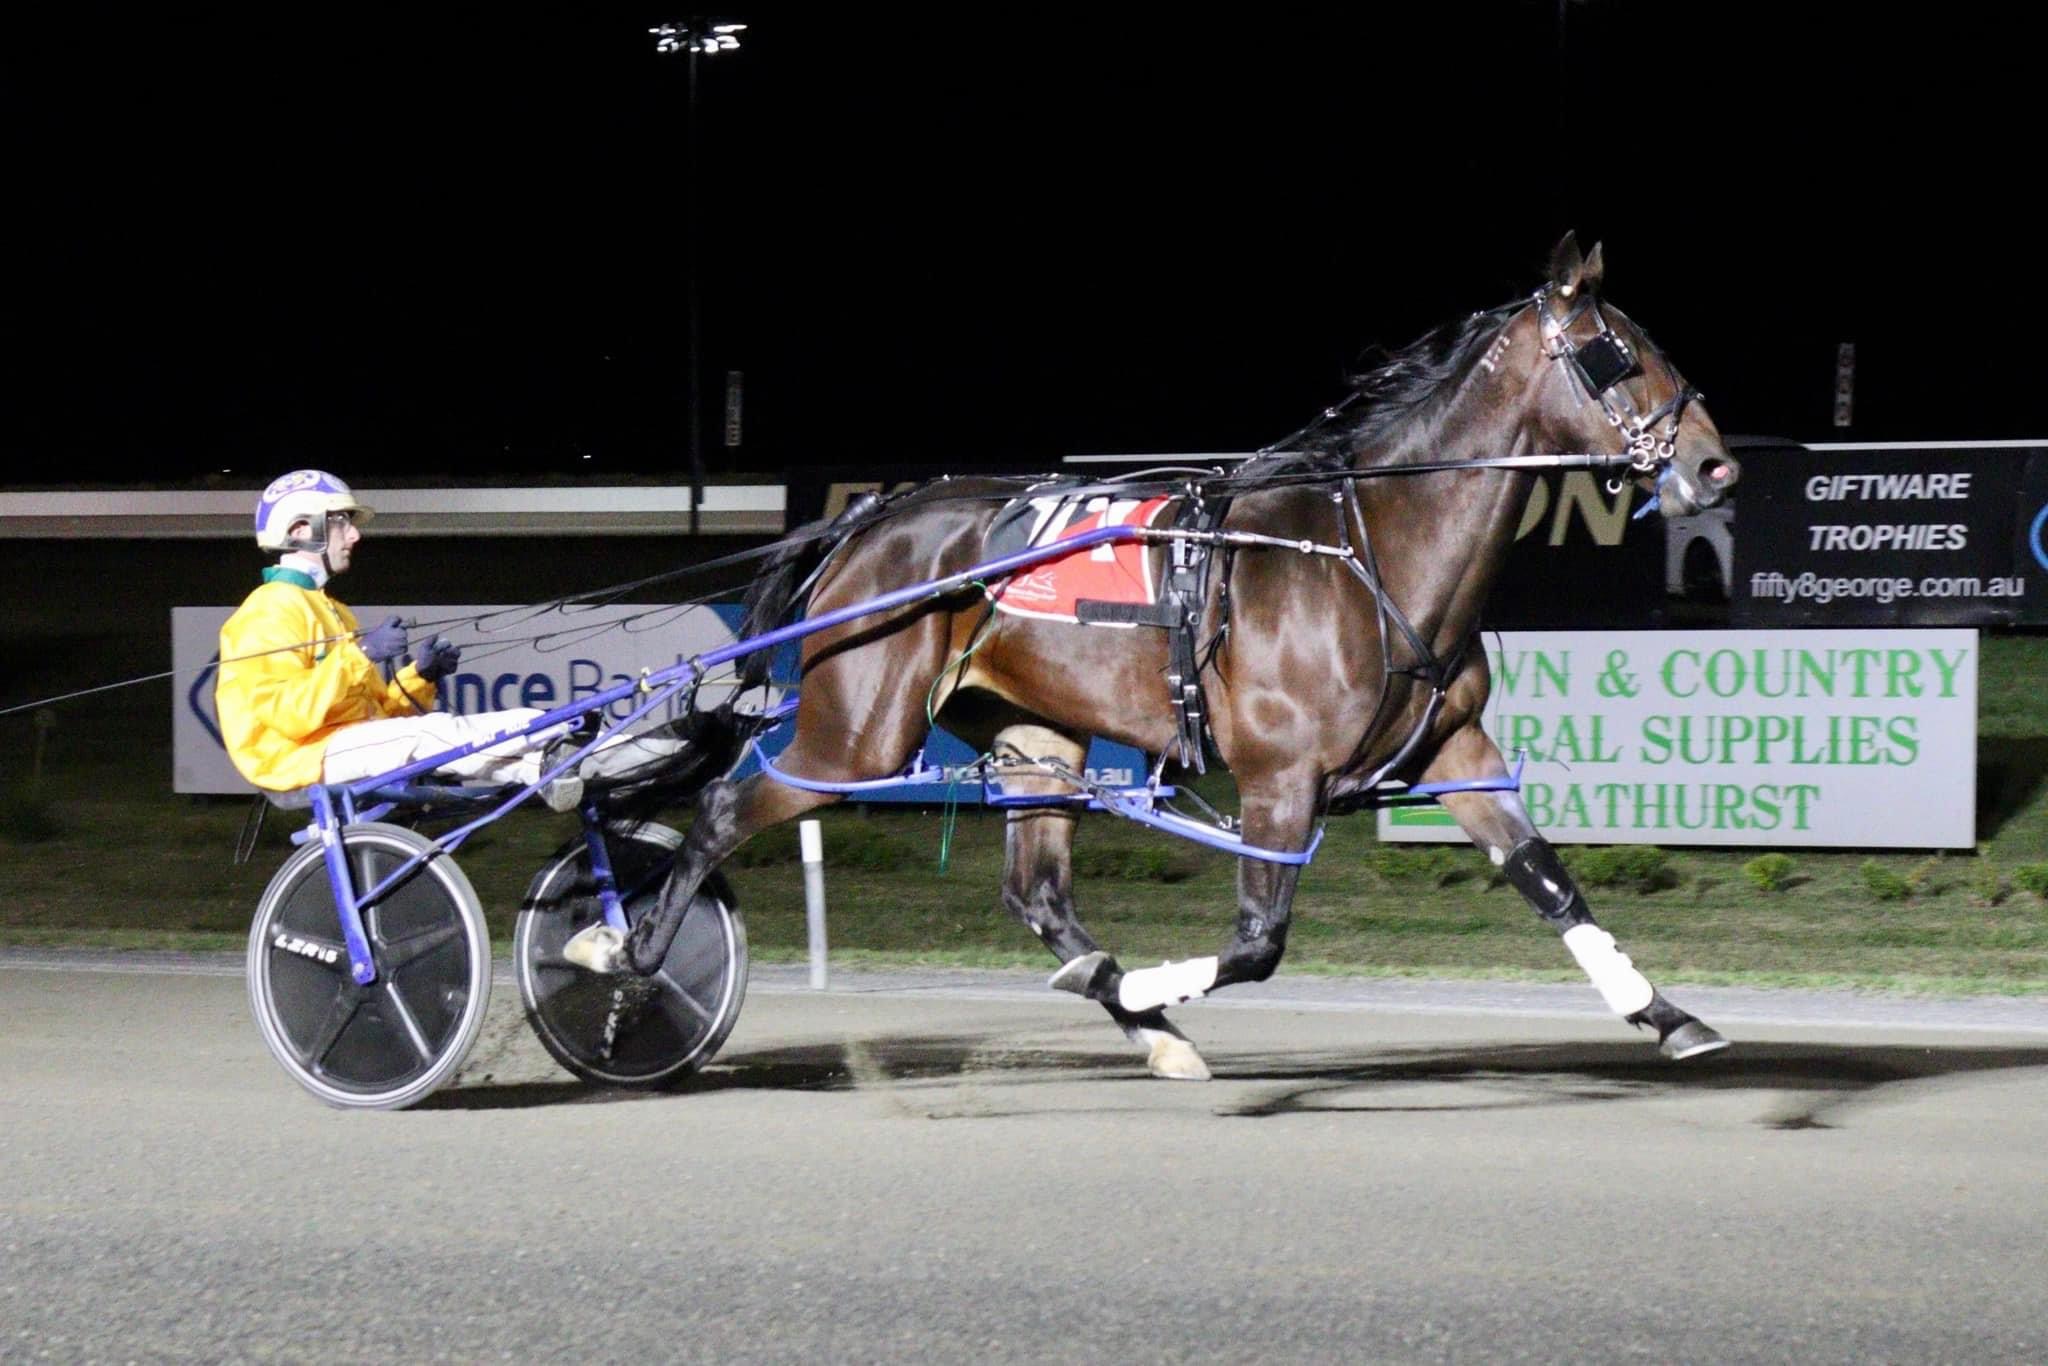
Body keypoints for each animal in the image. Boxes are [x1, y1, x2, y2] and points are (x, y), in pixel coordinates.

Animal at [581, 233, 1742, 1080]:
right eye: (1618, 352)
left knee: (1039, 894)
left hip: (1036, 734)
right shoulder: (1280, 776)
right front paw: (1149, 986)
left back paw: (1147, 1026)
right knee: (723, 812)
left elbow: (1547, 878)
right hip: (855, 733)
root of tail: (872, 517)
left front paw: (1666, 1013)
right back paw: (628, 967)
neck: (1368, 546)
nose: (1715, 467)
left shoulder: (1452, 748)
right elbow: (1257, 941)